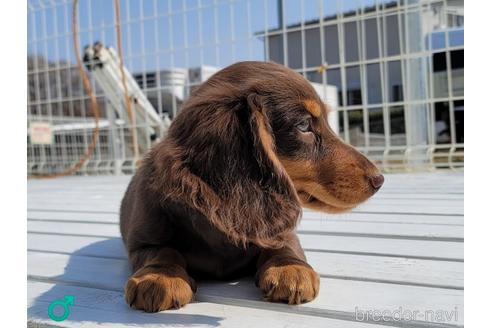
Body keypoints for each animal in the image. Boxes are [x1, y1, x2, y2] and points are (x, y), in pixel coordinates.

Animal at [120, 60, 384, 310]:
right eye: (303, 125)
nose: (379, 179)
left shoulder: (279, 228)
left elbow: (283, 243)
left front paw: (290, 267)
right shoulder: (143, 242)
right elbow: (164, 250)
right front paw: (160, 276)